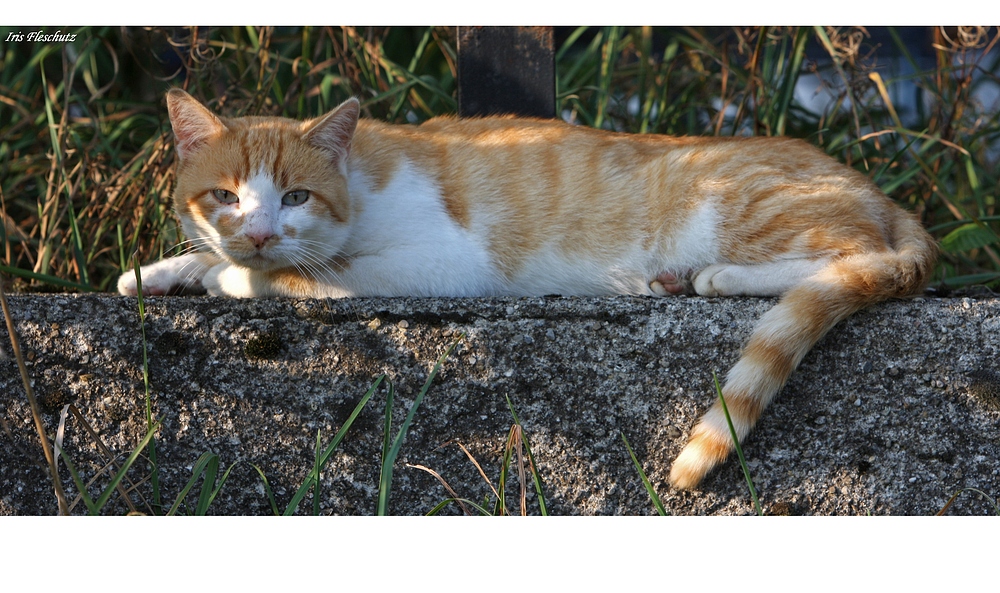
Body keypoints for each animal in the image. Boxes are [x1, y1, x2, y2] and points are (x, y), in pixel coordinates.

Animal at [119, 88, 936, 486]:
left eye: (295, 197)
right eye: (224, 195)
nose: (258, 232)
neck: (362, 173)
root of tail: (881, 193)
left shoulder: (443, 262)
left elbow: (291, 275)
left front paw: (230, 275)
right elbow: (202, 258)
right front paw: (158, 272)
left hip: (745, 208)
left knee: (854, 258)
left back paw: (706, 276)